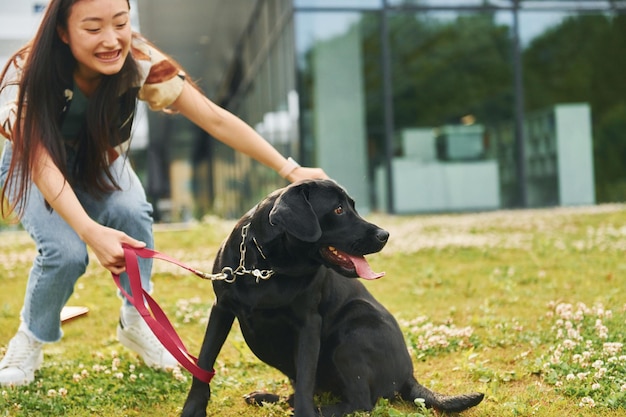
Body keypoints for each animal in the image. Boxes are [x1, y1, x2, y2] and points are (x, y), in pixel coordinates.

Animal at [180, 179, 482, 416]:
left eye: (353, 206)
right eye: (338, 209)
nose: (385, 235)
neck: (267, 266)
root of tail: (409, 377)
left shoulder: (308, 323)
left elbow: (305, 379)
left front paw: (304, 414)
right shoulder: (221, 309)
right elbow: (203, 364)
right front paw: (193, 410)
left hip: (354, 327)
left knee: (360, 401)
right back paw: (270, 399)